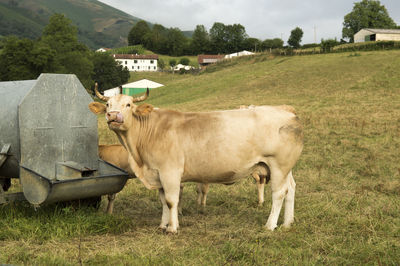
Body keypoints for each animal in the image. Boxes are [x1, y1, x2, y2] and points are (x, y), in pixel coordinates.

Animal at [89, 83, 302, 233]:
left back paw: (270, 225)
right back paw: (288, 223)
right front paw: (162, 225)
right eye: (108, 104)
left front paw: (172, 228)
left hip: (278, 165)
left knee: (279, 193)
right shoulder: (158, 173)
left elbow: (171, 201)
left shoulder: (170, 172)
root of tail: (286, 110)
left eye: (128, 104)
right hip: (286, 168)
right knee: (291, 188)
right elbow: (163, 201)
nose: (113, 115)